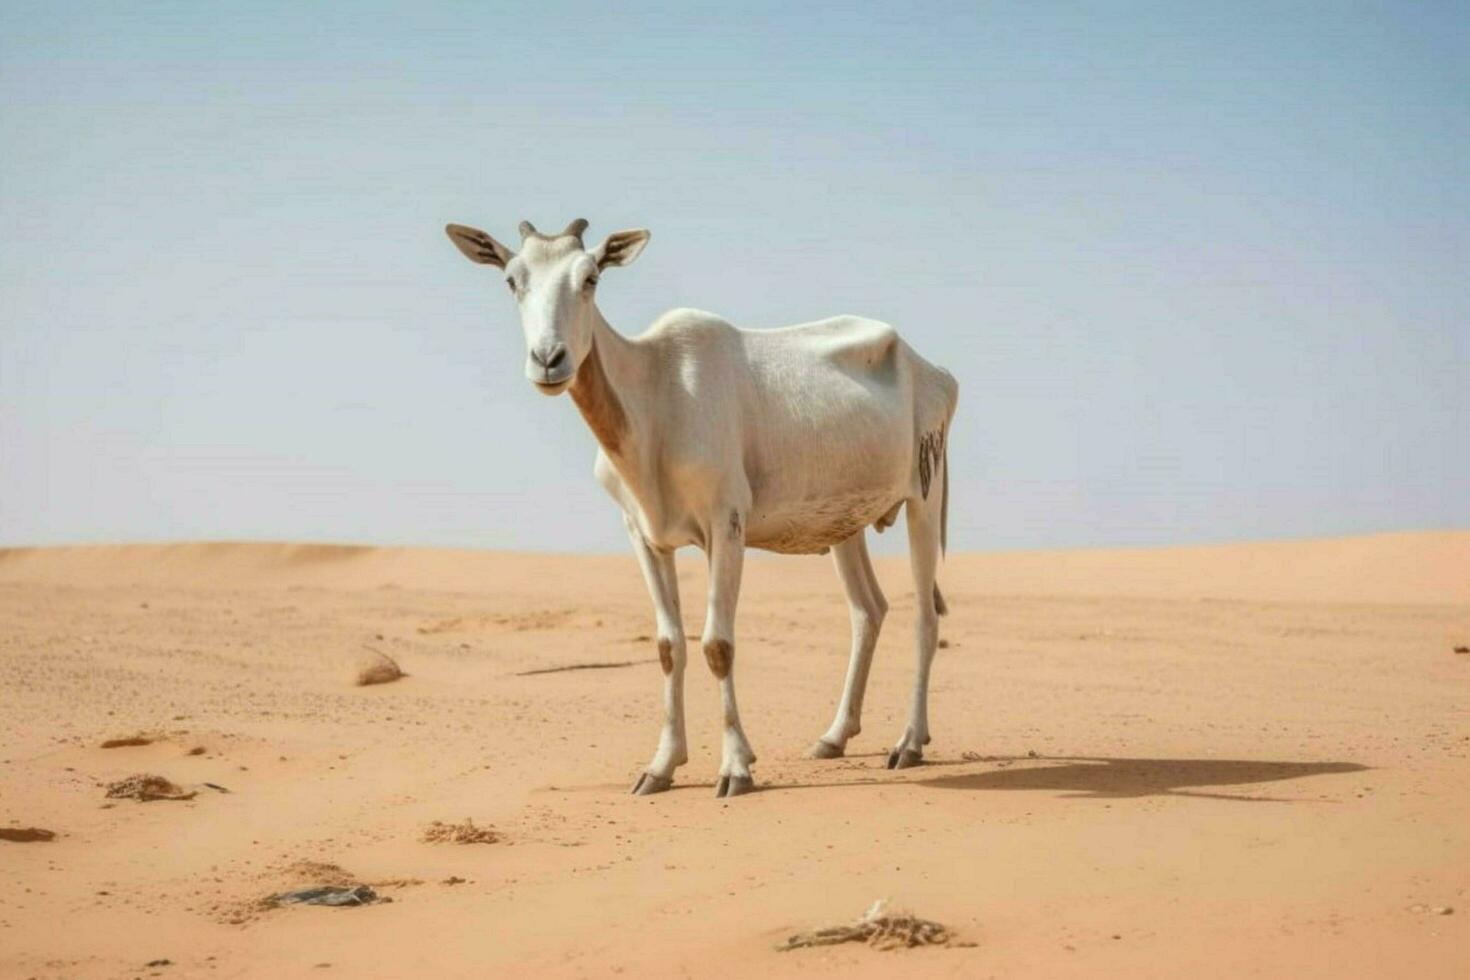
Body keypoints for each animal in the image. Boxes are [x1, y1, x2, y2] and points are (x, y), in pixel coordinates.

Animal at [441, 220, 958, 799]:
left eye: (591, 276)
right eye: (512, 279)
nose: (549, 360)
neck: (656, 392)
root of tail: (934, 372)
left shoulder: (725, 526)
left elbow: (717, 644)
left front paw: (735, 768)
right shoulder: (644, 535)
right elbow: (670, 646)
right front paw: (660, 767)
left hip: (923, 496)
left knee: (924, 615)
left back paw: (909, 743)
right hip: (846, 525)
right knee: (869, 610)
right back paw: (833, 738)